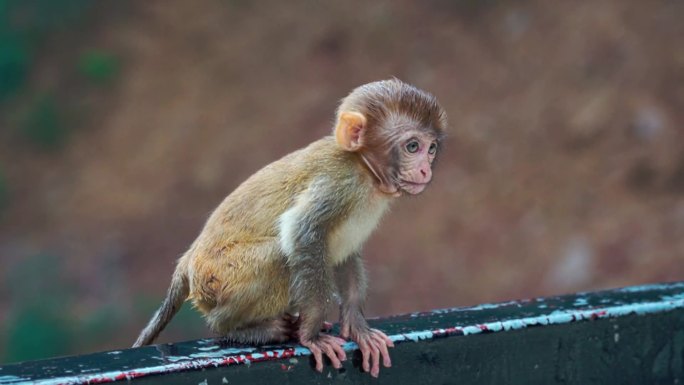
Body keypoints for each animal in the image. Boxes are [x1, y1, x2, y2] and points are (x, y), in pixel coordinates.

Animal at [134, 78, 446, 376]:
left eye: (431, 149)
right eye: (412, 146)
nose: (425, 170)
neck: (365, 171)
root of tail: (189, 261)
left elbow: (344, 252)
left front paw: (357, 326)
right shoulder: (337, 183)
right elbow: (303, 232)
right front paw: (311, 336)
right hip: (215, 277)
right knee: (278, 255)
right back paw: (237, 329)